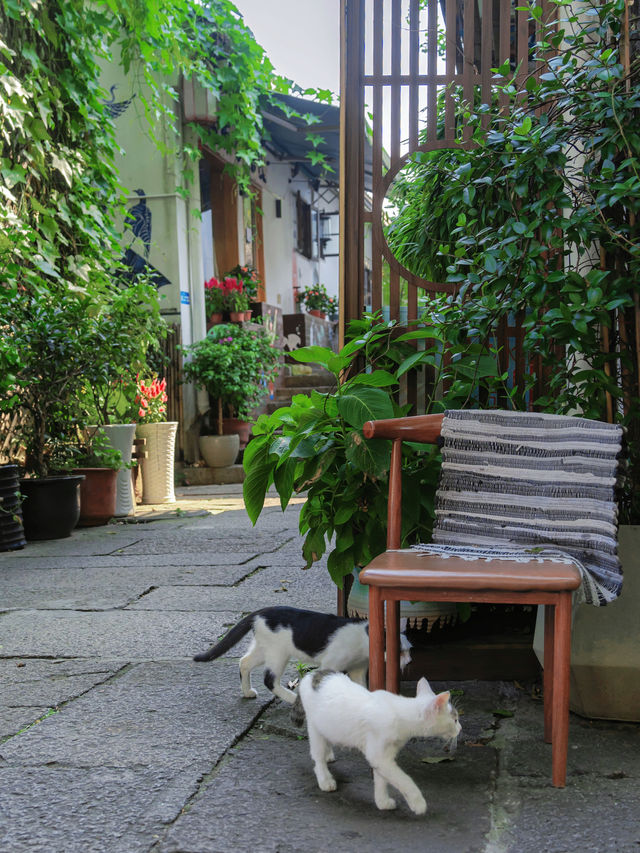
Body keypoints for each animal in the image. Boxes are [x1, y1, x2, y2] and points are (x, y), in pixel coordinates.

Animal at [192, 604, 410, 704]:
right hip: (278, 653)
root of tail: (260, 612)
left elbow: (361, 687)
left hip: (264, 649)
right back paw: (292, 698)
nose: (409, 661)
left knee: (244, 662)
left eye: (408, 650)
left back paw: (247, 691)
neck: (363, 638)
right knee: (269, 679)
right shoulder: (330, 664)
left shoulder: (357, 670)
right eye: (399, 651)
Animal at [290, 668, 460, 816]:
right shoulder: (378, 755)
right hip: (314, 726)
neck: (400, 713)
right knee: (317, 757)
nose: (460, 728)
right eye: (455, 719)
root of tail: (311, 674)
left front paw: (382, 801)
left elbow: (382, 779)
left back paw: (328, 754)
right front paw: (418, 803)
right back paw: (325, 779)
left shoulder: (384, 755)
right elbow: (403, 779)